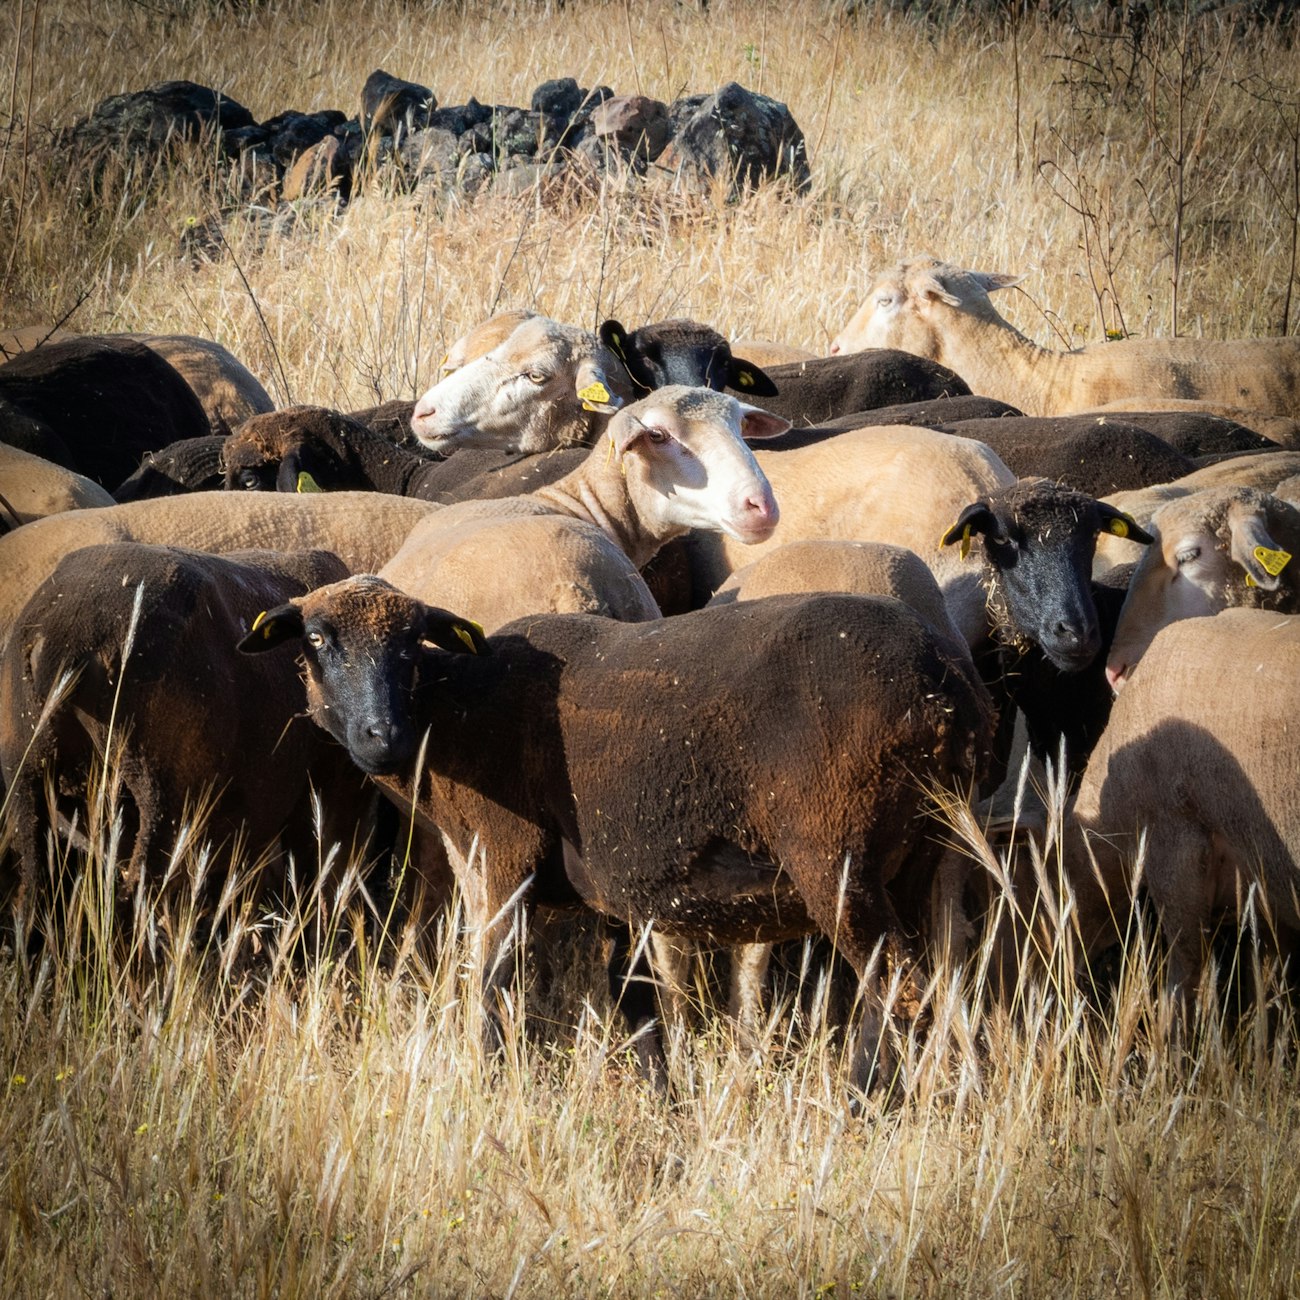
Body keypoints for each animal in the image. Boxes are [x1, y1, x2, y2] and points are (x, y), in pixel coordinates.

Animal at [240, 578, 994, 1100]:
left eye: (409, 645)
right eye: (317, 641)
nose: (382, 737)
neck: (449, 716)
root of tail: (941, 684)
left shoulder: (504, 856)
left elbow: (491, 987)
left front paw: (491, 1091)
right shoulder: (617, 897)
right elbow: (637, 1009)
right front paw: (667, 1110)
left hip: (837, 855)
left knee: (895, 988)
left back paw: (862, 1108)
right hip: (925, 856)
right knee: (927, 985)